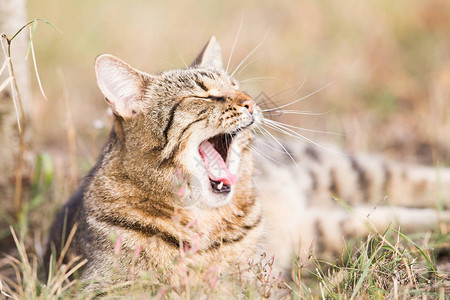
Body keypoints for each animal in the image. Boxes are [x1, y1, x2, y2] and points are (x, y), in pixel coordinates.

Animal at [46, 36, 450, 290]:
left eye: (235, 84)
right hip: (333, 229)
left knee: (415, 180)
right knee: (400, 218)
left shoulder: (251, 276)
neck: (201, 217)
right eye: (203, 94)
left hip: (340, 171)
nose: (251, 101)